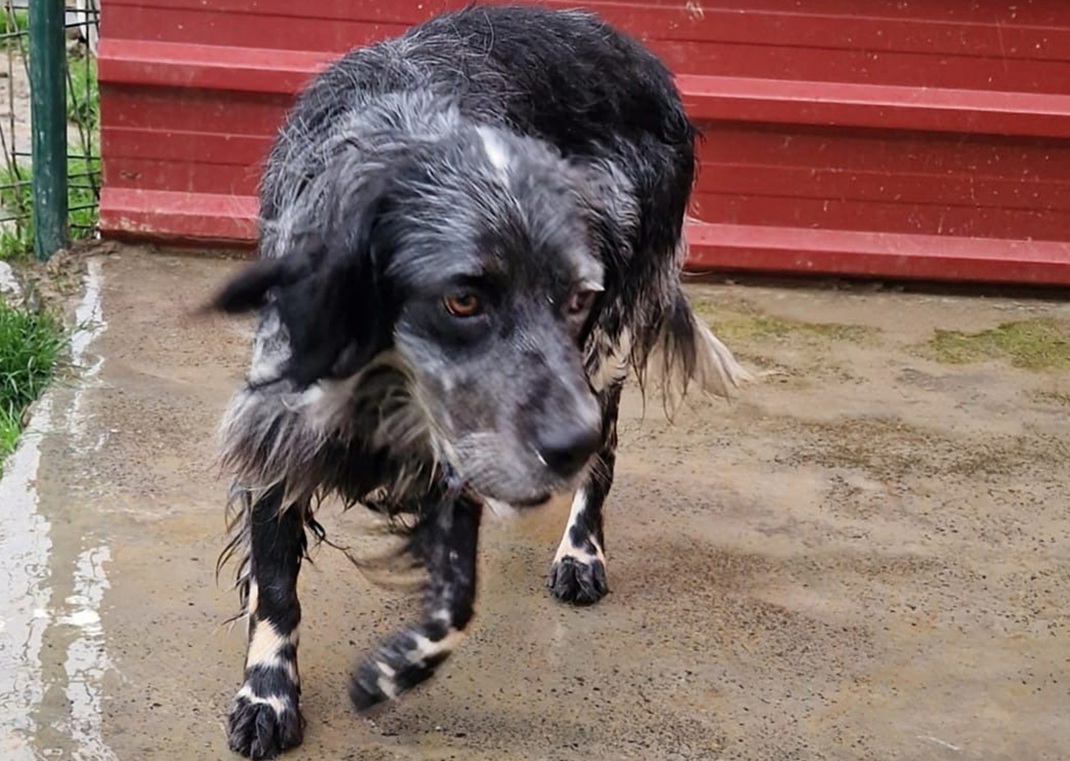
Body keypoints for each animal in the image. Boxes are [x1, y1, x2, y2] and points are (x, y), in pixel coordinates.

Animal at [204, 4, 750, 758]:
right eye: (462, 300)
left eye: (573, 298)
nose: (567, 443)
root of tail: (630, 47)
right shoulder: (278, 427)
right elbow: (276, 583)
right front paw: (268, 696)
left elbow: (456, 602)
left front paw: (392, 671)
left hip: (604, 346)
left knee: (605, 458)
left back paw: (581, 551)